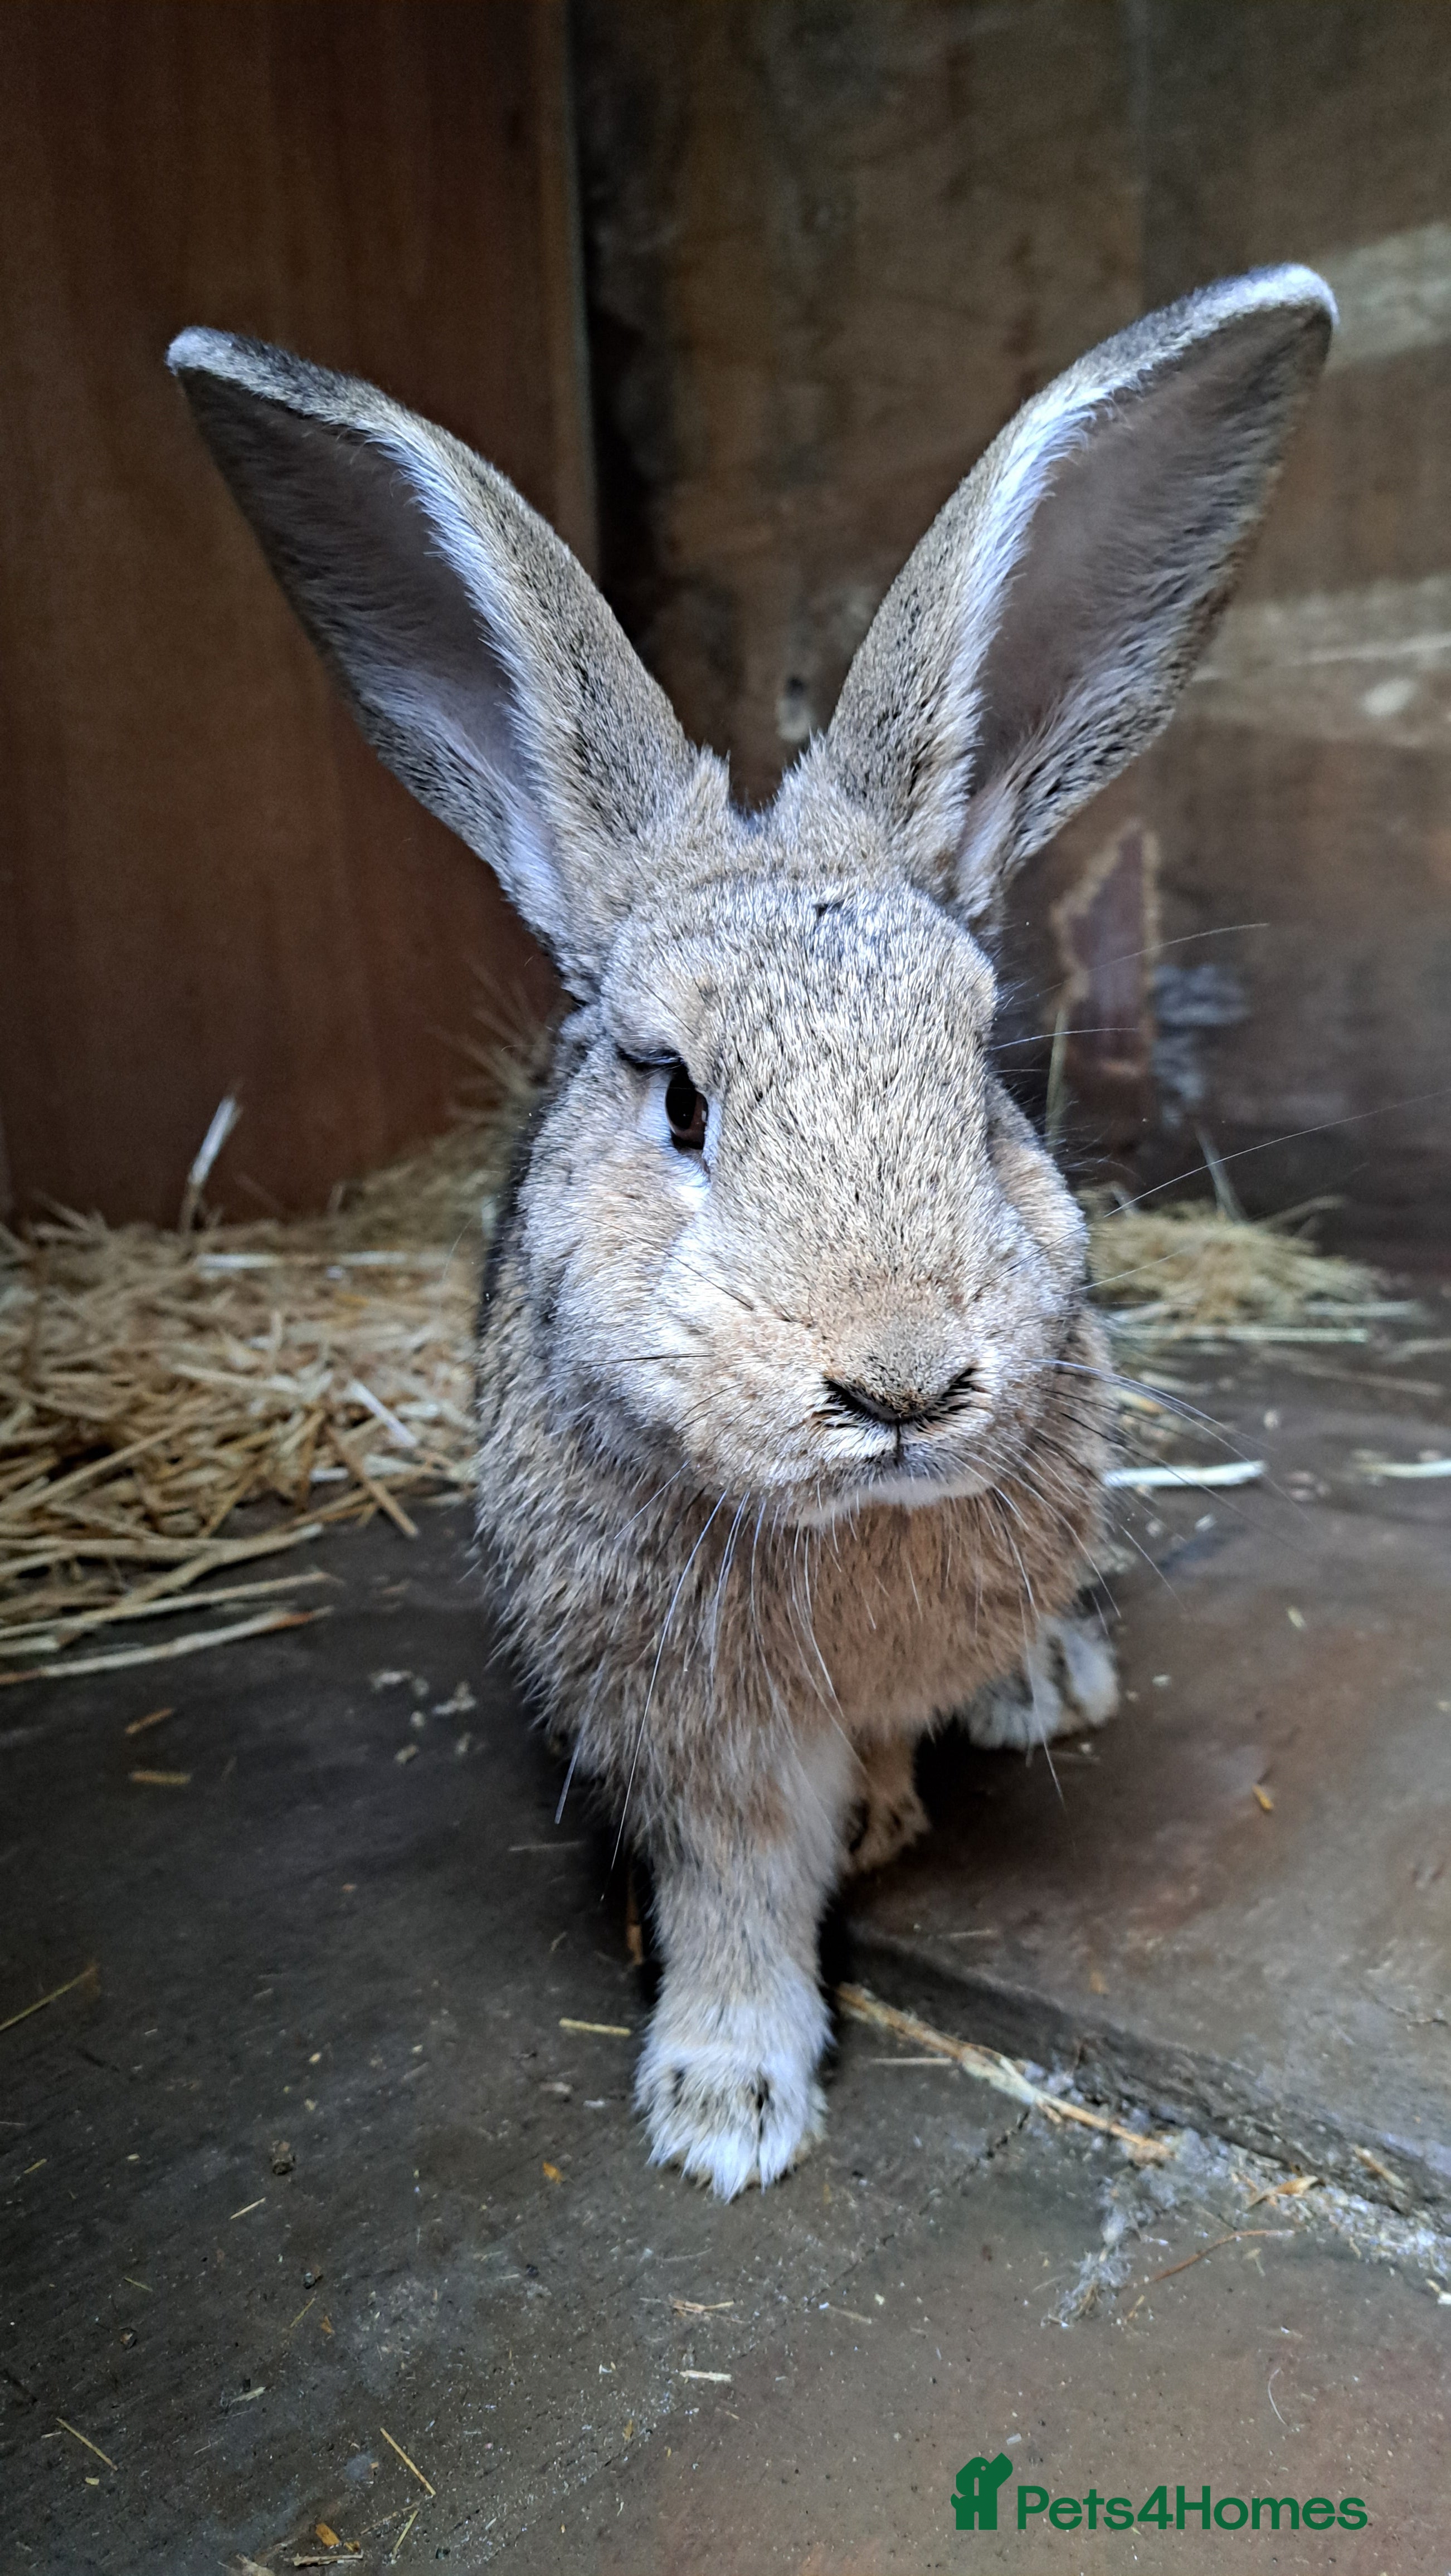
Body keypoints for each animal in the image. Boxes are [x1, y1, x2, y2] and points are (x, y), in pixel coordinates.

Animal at [169, 263, 1333, 2198]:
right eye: (678, 1100)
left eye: (978, 1070)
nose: (902, 1381)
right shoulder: (693, 1736)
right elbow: (732, 1886)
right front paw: (726, 2102)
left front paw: (900, 1805)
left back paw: (1043, 1683)